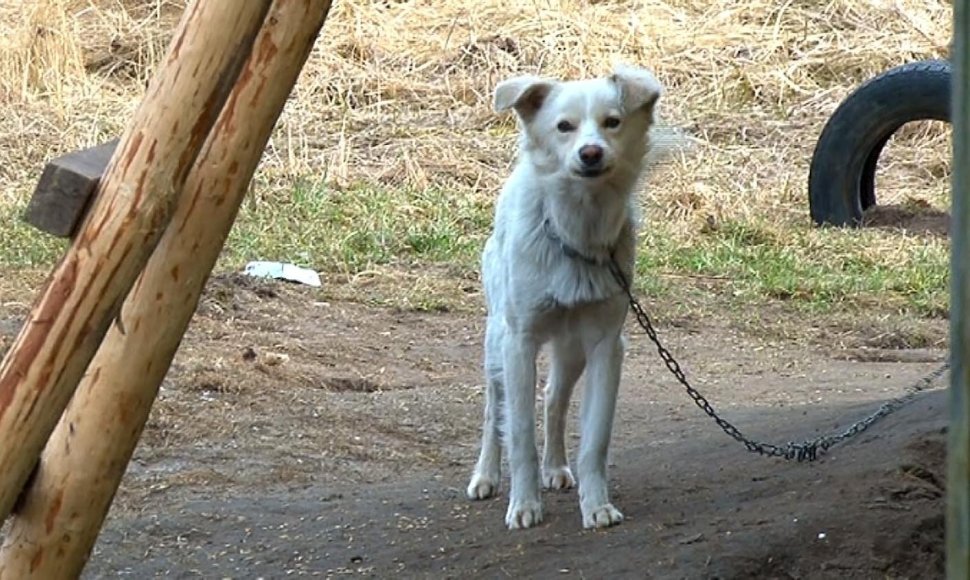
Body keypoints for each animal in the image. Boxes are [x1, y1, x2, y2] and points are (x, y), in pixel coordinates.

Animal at [466, 64, 660, 532]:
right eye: (564, 127)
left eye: (613, 122)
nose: (590, 153)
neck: (575, 232)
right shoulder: (519, 343)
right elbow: (518, 433)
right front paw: (524, 505)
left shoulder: (606, 345)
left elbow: (594, 439)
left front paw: (597, 506)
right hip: (496, 344)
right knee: (493, 411)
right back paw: (485, 476)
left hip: (572, 350)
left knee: (554, 397)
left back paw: (555, 467)